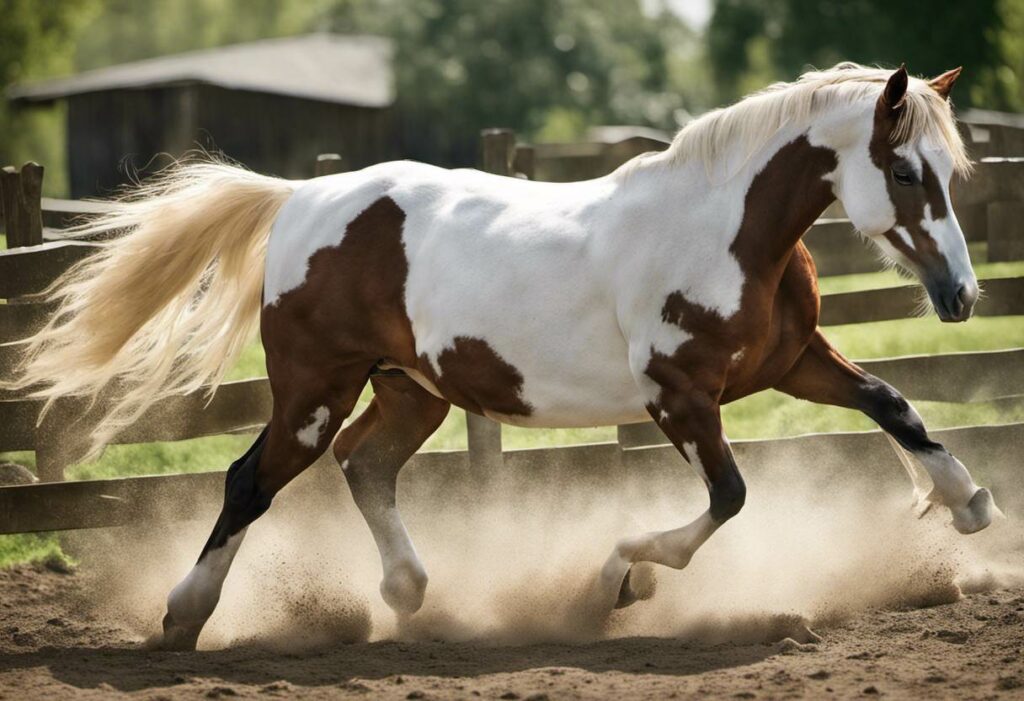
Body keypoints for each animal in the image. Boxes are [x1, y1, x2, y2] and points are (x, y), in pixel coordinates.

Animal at [12, 62, 995, 646]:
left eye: (952, 172)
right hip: (313, 388)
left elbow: (892, 403)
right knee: (253, 478)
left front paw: (970, 504)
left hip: (412, 390)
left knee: (364, 463)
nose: (962, 296)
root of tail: (300, 199)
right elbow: (730, 495)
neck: (725, 232)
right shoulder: (679, 397)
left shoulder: (791, 362)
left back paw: (408, 592)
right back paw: (184, 616)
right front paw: (617, 578)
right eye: (904, 171)